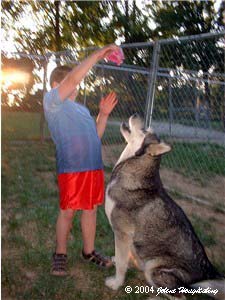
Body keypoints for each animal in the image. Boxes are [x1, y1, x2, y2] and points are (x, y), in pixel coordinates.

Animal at [104, 113, 224, 298]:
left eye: (144, 130)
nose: (136, 114)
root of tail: (208, 271)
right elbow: (124, 257)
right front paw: (118, 261)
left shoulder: (121, 233)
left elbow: (122, 264)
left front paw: (116, 283)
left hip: (153, 269)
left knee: (180, 296)